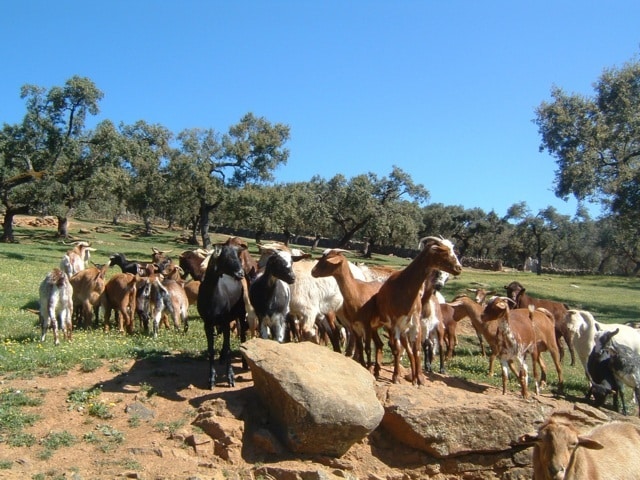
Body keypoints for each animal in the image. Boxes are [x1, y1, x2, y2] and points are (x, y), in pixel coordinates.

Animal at [195, 244, 248, 390]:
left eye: (238, 257)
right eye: (226, 257)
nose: (240, 273)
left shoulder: (224, 321)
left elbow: (229, 348)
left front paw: (230, 377)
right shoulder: (207, 323)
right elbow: (211, 351)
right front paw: (211, 379)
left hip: (241, 313)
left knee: (242, 336)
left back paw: (244, 363)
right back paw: (222, 358)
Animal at [370, 236, 464, 386]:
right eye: (442, 250)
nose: (458, 268)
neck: (404, 287)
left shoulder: (416, 325)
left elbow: (417, 350)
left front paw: (419, 378)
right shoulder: (395, 324)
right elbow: (397, 349)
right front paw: (396, 376)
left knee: (412, 349)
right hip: (389, 326)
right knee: (390, 346)